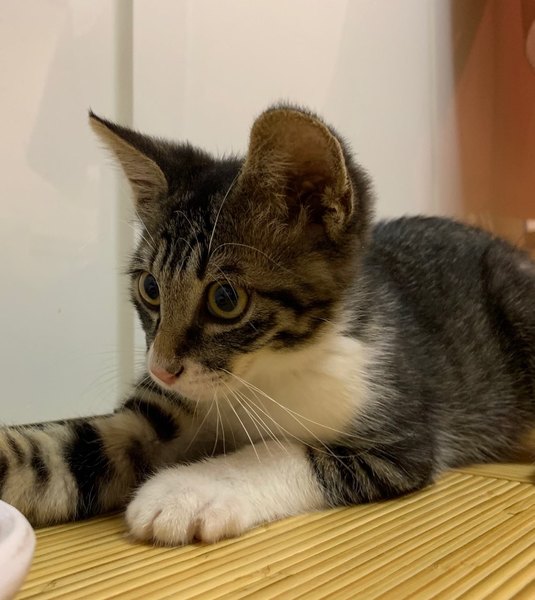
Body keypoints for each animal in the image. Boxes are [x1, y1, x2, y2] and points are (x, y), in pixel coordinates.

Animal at [1, 104, 534, 546]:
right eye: (150, 288)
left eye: (225, 299)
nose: (161, 369)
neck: (261, 373)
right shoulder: (154, 414)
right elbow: (61, 451)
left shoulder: (401, 439)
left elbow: (288, 451)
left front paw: (187, 490)